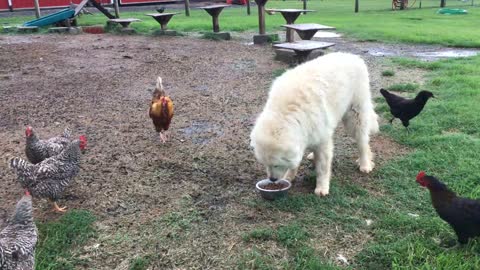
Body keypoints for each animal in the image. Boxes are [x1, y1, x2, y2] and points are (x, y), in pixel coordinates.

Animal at [251, 52, 378, 196]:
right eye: (265, 164)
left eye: (276, 164)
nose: (272, 179)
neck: (285, 113)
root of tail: (353, 56)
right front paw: (289, 177)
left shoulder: (321, 139)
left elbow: (322, 168)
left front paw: (321, 188)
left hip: (355, 116)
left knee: (362, 142)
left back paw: (365, 164)